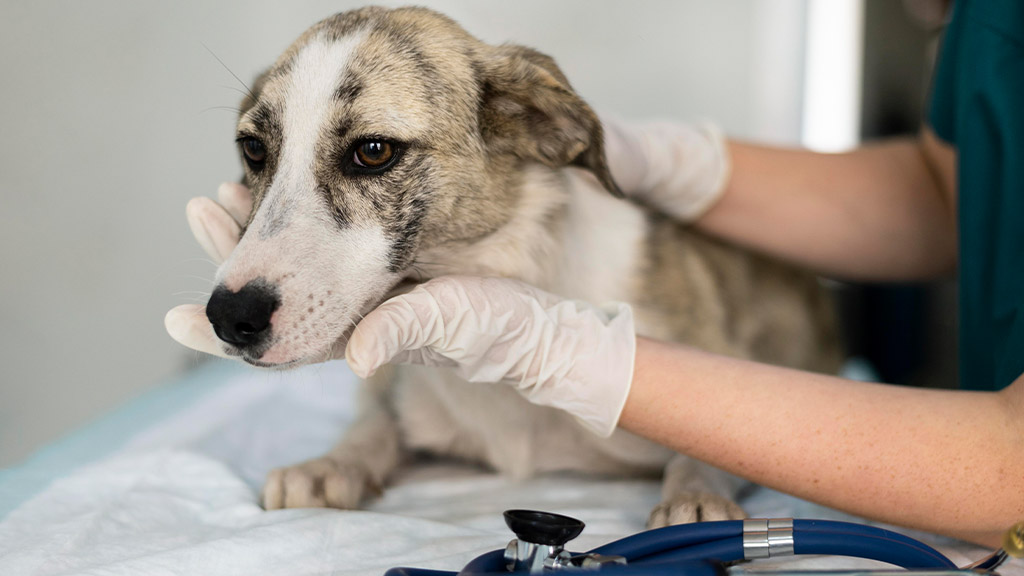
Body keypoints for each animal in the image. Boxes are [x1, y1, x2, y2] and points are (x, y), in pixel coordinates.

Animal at [205, 5, 839, 524]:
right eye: (254, 149)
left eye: (373, 151)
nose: (229, 318)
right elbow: (375, 423)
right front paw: (332, 462)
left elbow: (714, 446)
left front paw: (696, 494)